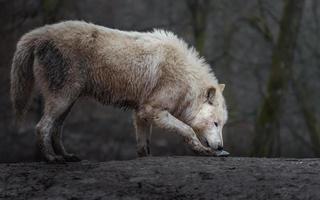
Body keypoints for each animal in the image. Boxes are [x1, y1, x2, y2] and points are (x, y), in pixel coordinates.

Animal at [10, 21, 228, 163]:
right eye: (215, 123)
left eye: (222, 125)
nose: (220, 146)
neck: (186, 80)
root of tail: (39, 33)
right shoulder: (154, 110)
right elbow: (187, 129)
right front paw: (204, 152)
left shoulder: (141, 113)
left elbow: (143, 146)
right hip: (63, 99)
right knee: (42, 126)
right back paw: (51, 158)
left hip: (68, 102)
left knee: (56, 128)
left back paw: (66, 156)